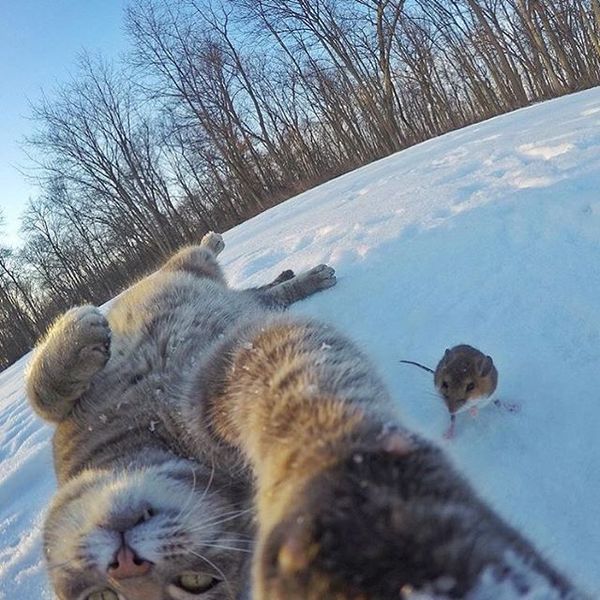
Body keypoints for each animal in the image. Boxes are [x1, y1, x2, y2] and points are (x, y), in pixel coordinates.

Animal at [26, 232, 586, 600]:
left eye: (193, 581)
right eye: (103, 597)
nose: (126, 564)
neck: (152, 440)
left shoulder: (217, 373)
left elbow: (42, 394)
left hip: (191, 272)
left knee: (207, 263)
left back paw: (250, 254)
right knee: (259, 295)